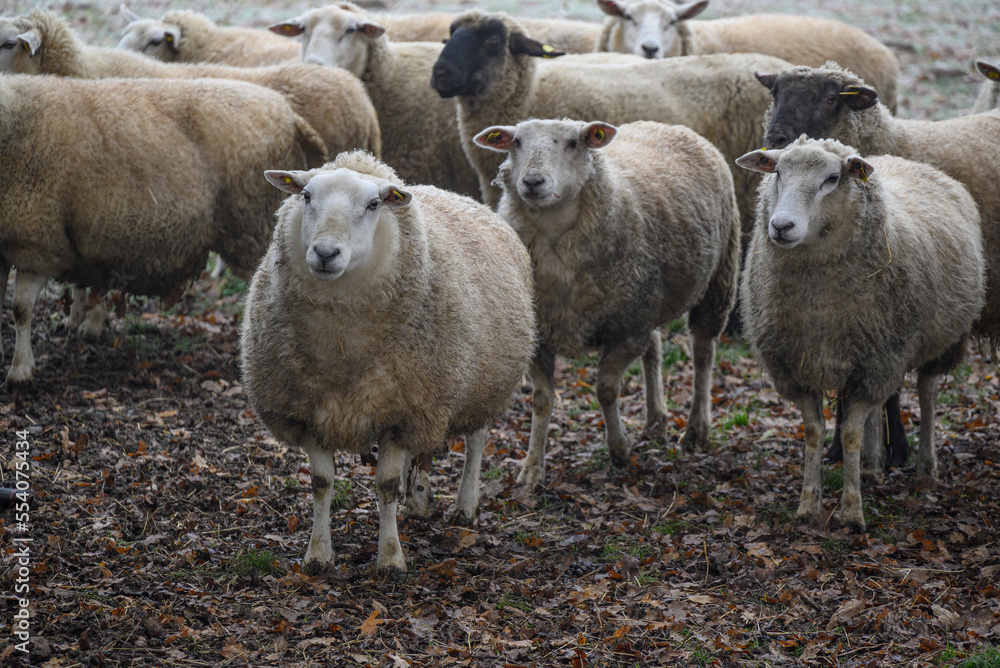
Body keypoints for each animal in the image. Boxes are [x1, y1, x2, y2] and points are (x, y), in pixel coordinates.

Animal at [239, 151, 536, 576]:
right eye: (307, 196)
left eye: (373, 204)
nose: (325, 253)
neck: (342, 344)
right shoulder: (311, 410)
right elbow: (321, 482)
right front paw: (318, 555)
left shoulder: (404, 413)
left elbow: (385, 485)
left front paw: (391, 558)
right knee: (424, 452)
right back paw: (419, 499)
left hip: (482, 382)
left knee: (476, 441)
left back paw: (465, 505)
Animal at [473, 119, 738, 484]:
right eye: (516, 142)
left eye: (573, 143)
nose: (532, 182)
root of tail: (666, 125)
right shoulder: (541, 333)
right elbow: (542, 400)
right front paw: (532, 468)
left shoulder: (625, 330)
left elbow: (607, 391)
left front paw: (619, 449)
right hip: (645, 297)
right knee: (655, 349)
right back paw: (656, 419)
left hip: (716, 279)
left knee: (702, 354)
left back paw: (696, 429)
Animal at [736, 137, 985, 530]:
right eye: (777, 173)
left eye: (832, 178)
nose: (781, 226)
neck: (819, 305)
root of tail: (905, 161)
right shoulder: (798, 366)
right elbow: (815, 431)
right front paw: (808, 504)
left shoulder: (875, 362)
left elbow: (849, 433)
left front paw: (851, 511)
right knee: (881, 404)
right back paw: (871, 467)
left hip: (937, 341)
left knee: (927, 392)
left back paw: (925, 468)